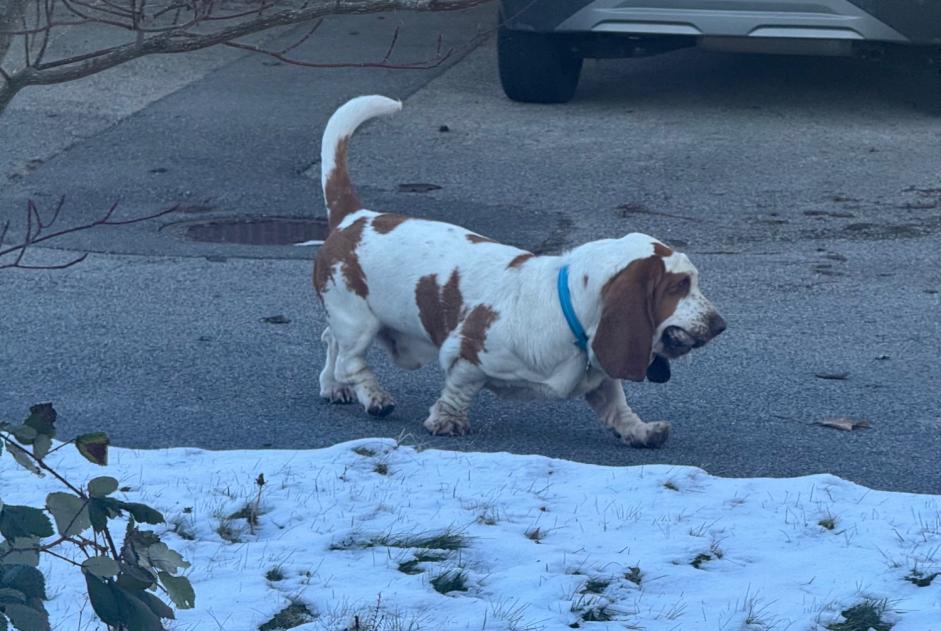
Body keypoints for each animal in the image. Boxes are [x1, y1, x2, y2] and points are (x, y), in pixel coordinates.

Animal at [312, 96, 724, 446]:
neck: (568, 309)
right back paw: (374, 397)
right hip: (358, 322)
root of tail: (354, 217)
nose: (720, 325)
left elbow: (617, 405)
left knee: (330, 341)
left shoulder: (600, 373)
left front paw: (642, 431)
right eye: (679, 286)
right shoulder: (467, 353)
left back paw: (334, 387)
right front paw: (447, 421)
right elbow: (459, 389)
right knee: (351, 360)